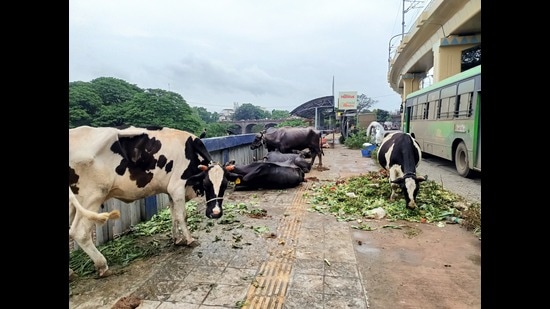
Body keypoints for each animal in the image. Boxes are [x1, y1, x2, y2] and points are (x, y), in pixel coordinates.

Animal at [69, 124, 237, 278]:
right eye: (206, 184)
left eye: (224, 184)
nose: (216, 213)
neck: (190, 149)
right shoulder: (177, 187)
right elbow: (182, 216)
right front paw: (189, 240)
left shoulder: (170, 191)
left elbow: (173, 215)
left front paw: (177, 239)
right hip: (92, 196)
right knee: (80, 232)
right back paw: (102, 265)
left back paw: (71, 272)